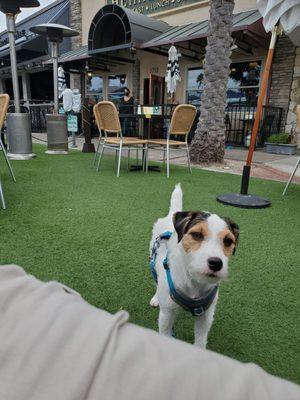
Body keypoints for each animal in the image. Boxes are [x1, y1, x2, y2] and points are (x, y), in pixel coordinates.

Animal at [150, 184, 239, 346]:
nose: (216, 263)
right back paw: (156, 298)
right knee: (156, 279)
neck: (194, 281)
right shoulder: (167, 315)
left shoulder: (206, 317)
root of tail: (171, 214)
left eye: (228, 241)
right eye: (197, 235)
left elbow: (200, 342)